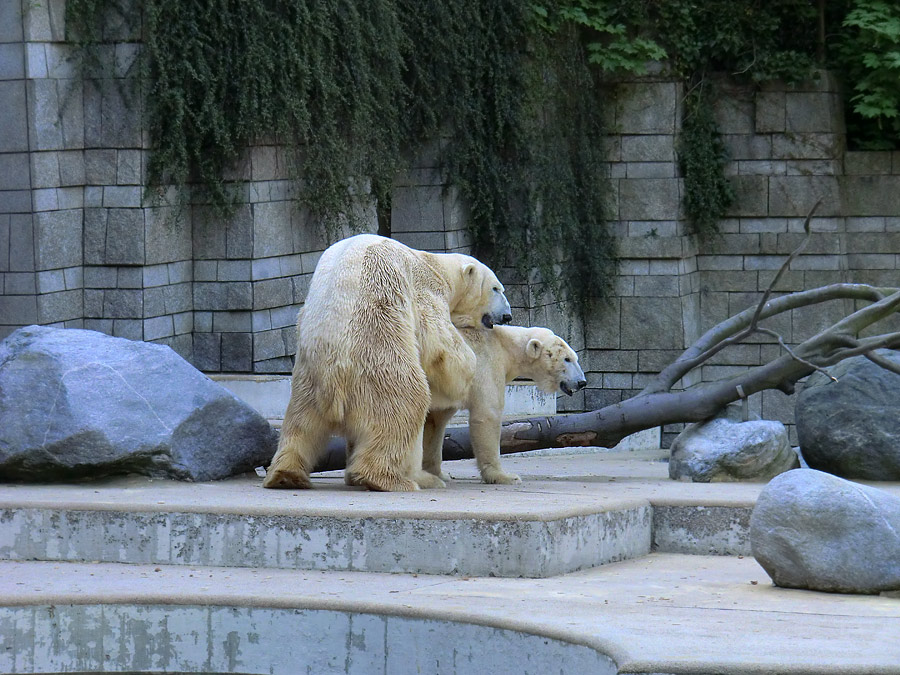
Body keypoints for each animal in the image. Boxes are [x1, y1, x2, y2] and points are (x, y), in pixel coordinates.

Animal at [264, 232, 510, 492]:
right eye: (496, 288)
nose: (507, 315)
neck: (435, 265)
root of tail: (332, 381)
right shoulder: (425, 289)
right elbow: (439, 341)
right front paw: (465, 373)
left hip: (306, 381)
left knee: (301, 427)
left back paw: (287, 475)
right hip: (377, 365)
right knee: (403, 409)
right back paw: (391, 479)